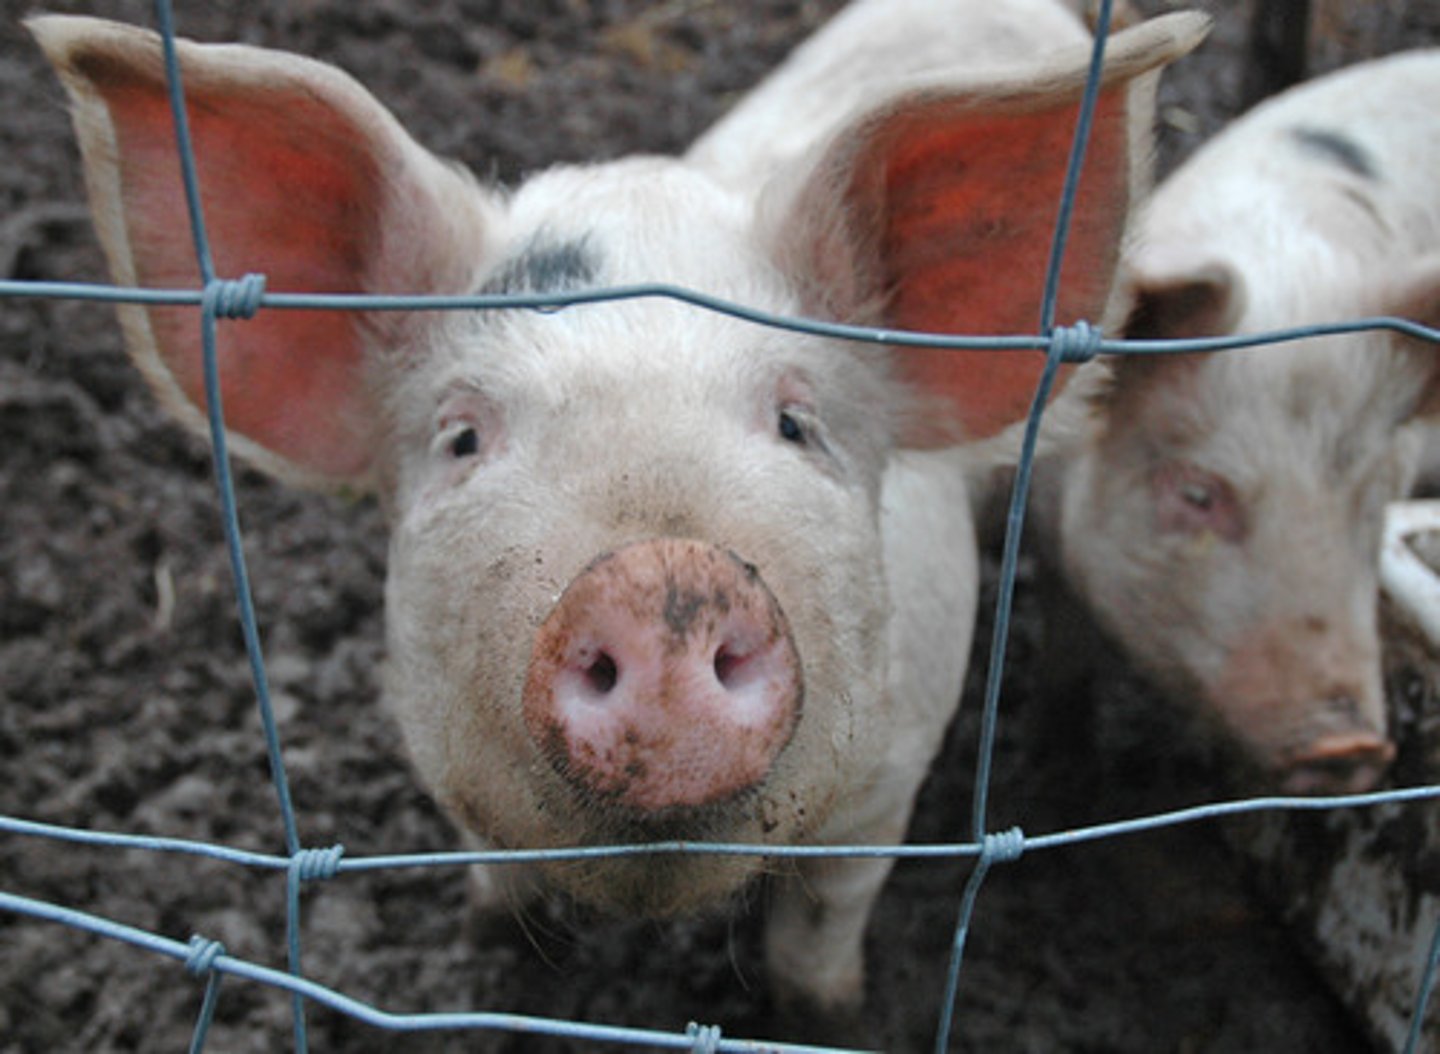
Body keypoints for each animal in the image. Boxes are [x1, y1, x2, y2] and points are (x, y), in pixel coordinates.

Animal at [30, 2, 1205, 1015]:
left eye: (796, 422)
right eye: (462, 437)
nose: (665, 583)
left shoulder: (893, 777)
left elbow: (822, 925)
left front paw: (828, 1011)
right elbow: (495, 872)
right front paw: (494, 955)